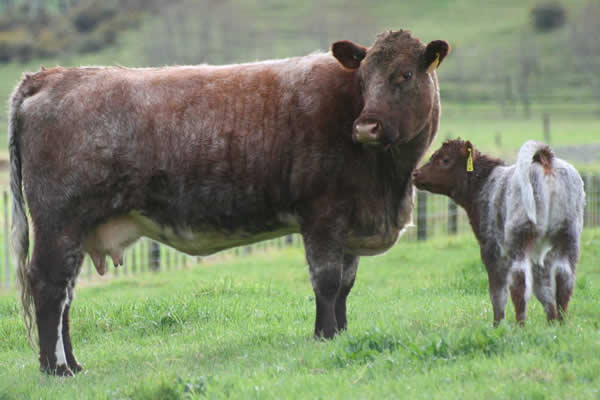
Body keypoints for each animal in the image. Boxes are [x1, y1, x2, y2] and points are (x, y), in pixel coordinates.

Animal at [10, 30, 450, 376]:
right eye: (363, 77)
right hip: (59, 222)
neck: (388, 182)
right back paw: (56, 369)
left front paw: (341, 334)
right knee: (49, 286)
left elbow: (345, 284)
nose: (366, 126)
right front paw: (324, 336)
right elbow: (325, 281)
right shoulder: (323, 216)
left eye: (404, 74)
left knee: (66, 294)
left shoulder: (352, 222)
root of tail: (52, 75)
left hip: (76, 230)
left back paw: (74, 363)